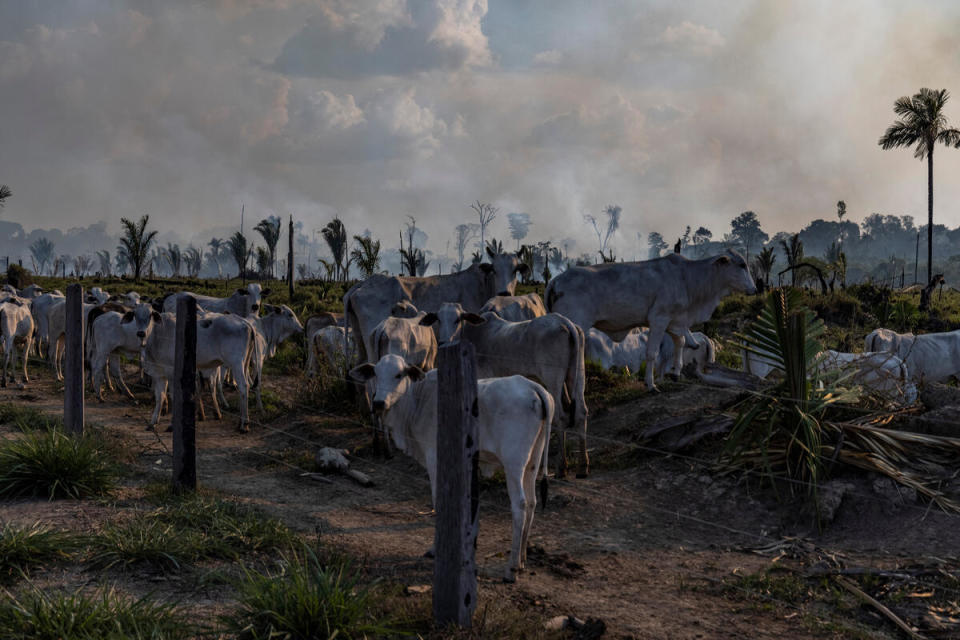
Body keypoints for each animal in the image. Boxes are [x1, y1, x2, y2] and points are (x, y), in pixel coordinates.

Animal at [348, 358, 552, 584]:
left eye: (398, 375)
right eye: (376, 373)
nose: (378, 403)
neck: (418, 399)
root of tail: (532, 387)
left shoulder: (434, 456)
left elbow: (438, 500)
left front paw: (436, 549)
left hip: (514, 463)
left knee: (520, 506)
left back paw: (512, 568)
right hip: (533, 461)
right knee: (532, 502)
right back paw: (523, 559)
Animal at [548, 250, 756, 390]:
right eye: (742, 265)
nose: (754, 289)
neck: (687, 278)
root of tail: (556, 280)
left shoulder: (675, 321)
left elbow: (680, 342)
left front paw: (676, 373)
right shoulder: (659, 319)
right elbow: (652, 353)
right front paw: (651, 384)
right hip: (575, 325)